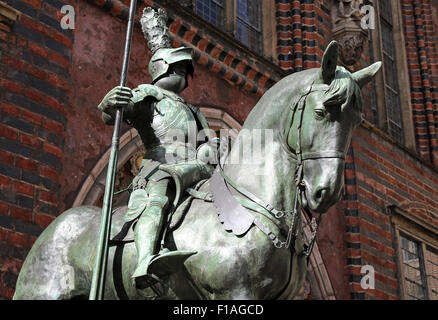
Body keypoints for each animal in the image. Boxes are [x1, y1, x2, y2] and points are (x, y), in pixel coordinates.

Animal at [12, 42, 380, 300]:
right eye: (321, 111)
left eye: (357, 120)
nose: (325, 192)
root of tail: (55, 229)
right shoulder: (236, 292)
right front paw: (111, 102)